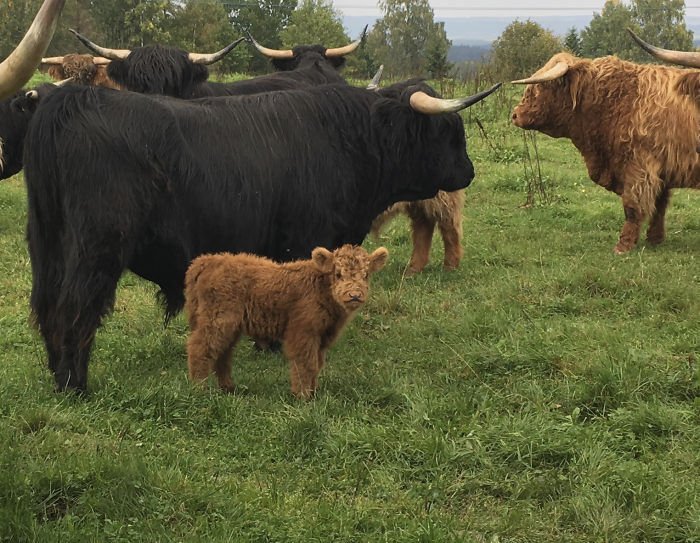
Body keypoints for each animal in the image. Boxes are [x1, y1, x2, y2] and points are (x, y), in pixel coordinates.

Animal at [183, 246, 388, 400]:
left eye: (366, 275)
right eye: (338, 274)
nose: (354, 295)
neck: (321, 288)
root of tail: (207, 260)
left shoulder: (322, 338)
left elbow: (317, 364)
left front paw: (314, 393)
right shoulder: (303, 333)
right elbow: (305, 364)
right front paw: (303, 396)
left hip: (230, 327)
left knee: (223, 354)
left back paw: (228, 388)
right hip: (218, 321)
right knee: (200, 348)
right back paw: (199, 389)